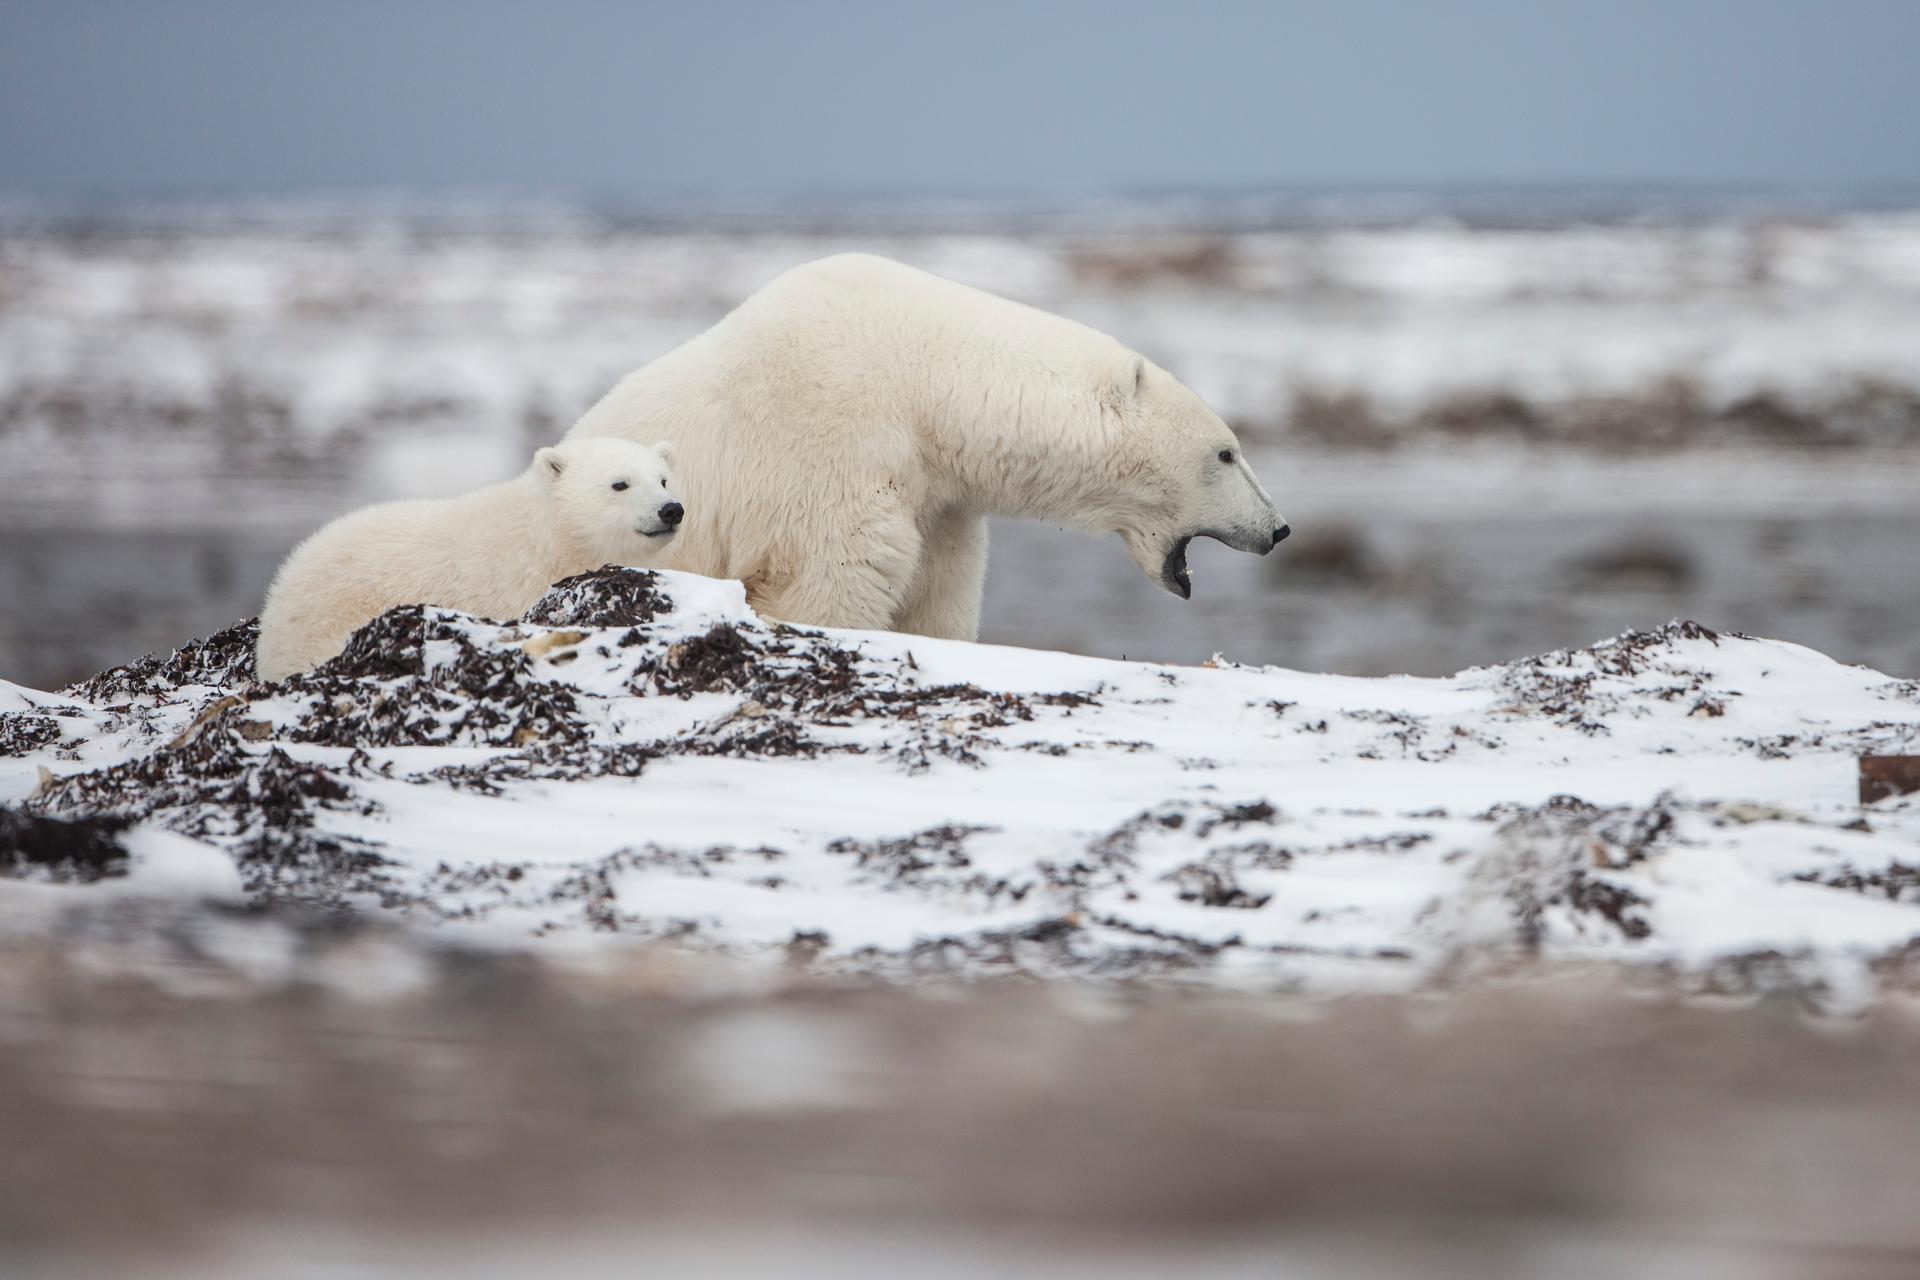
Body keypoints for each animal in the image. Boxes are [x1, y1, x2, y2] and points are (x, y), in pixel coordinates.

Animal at [568, 251, 1290, 640]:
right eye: (1226, 453)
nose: (1279, 528)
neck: (922, 383)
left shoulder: (941, 499)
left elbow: (938, 597)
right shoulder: (826, 446)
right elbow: (824, 581)